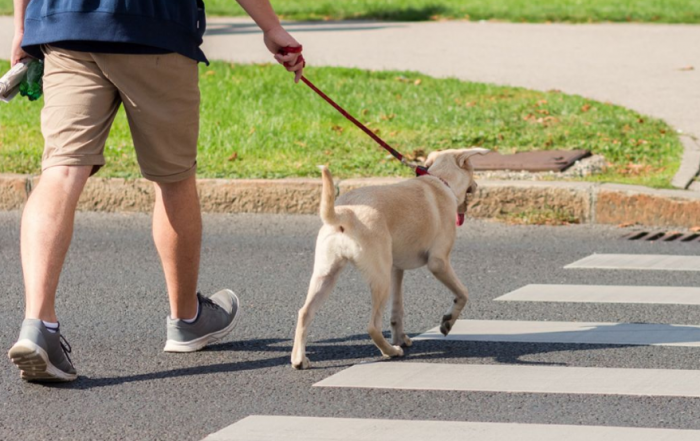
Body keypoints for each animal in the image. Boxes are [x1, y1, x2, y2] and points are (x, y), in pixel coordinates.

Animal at [290, 148, 486, 368]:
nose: (477, 186)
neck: (440, 181)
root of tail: (344, 214)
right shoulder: (439, 263)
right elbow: (463, 293)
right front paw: (447, 322)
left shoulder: (396, 269)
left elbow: (397, 310)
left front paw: (401, 337)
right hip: (380, 279)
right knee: (372, 326)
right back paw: (391, 351)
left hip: (327, 275)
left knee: (304, 312)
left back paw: (299, 359)